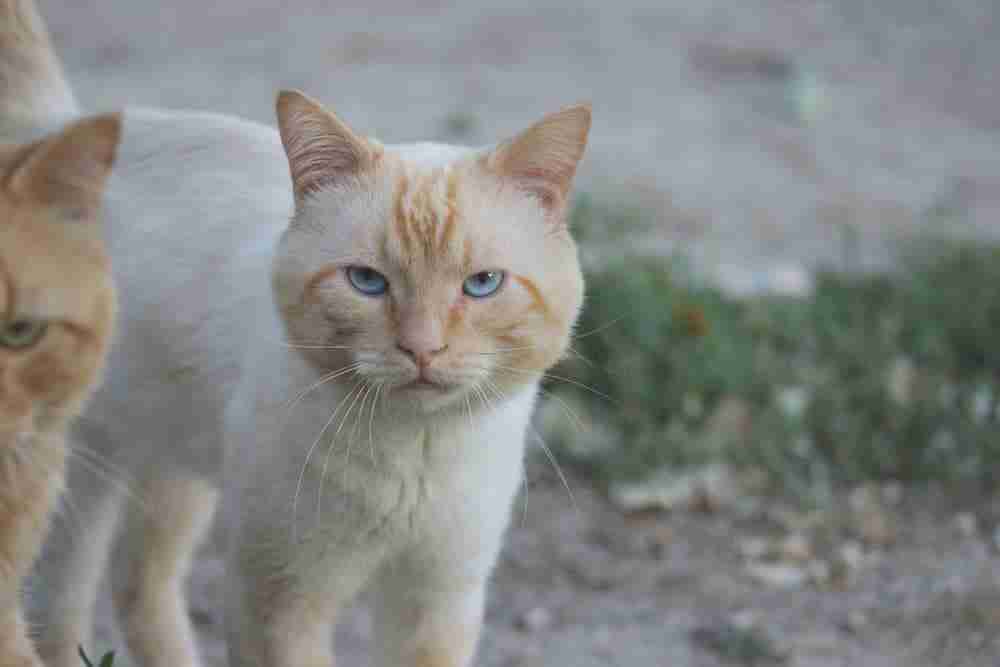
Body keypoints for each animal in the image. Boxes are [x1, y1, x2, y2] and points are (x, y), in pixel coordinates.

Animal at [23, 2, 588, 664]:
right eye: (367, 281)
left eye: (482, 285)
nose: (422, 348)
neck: (416, 452)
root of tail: (56, 127)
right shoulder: (281, 600)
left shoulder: (438, 600)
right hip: (86, 470)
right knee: (60, 605)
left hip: (178, 461)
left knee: (139, 579)